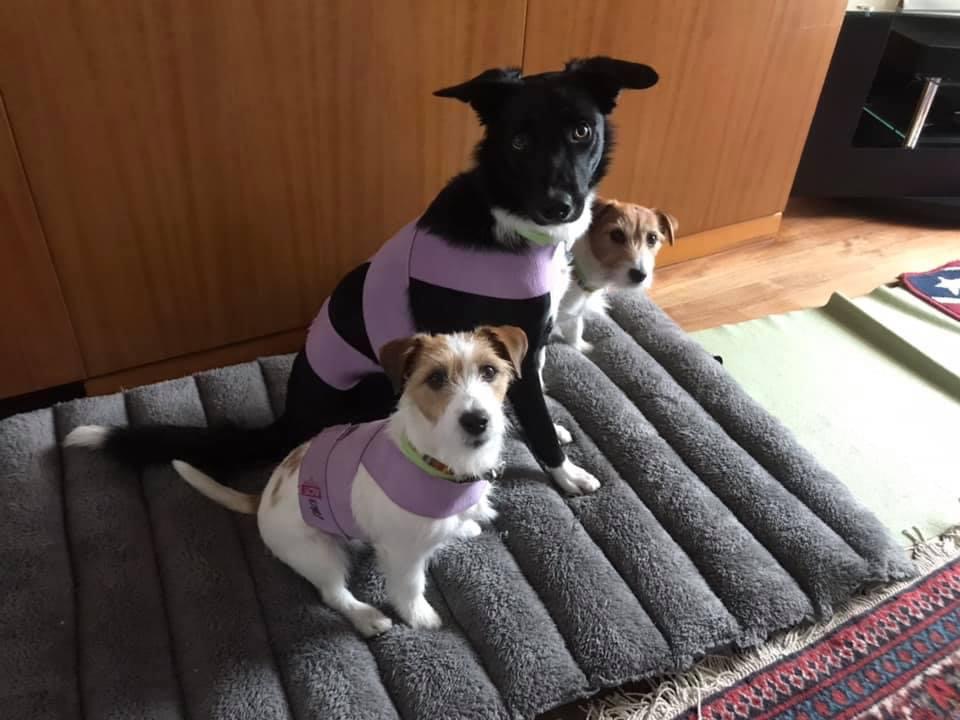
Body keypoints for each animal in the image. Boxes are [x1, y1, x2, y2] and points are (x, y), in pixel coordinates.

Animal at [68, 326, 525, 636]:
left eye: (489, 372)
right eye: (435, 379)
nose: (477, 420)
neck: (439, 461)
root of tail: (261, 498)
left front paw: (465, 523)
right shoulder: (402, 553)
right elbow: (410, 588)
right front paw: (421, 618)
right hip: (317, 552)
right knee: (332, 593)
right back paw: (366, 616)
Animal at [72, 56, 658, 497]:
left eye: (582, 132)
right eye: (518, 142)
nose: (560, 205)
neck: (504, 213)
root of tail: (288, 421)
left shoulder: (525, 344)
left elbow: (524, 392)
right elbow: (533, 417)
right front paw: (566, 474)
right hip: (380, 384)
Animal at [555, 198, 677, 353]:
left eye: (652, 238)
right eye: (617, 234)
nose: (640, 275)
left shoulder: (574, 314)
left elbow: (575, 330)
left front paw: (582, 347)